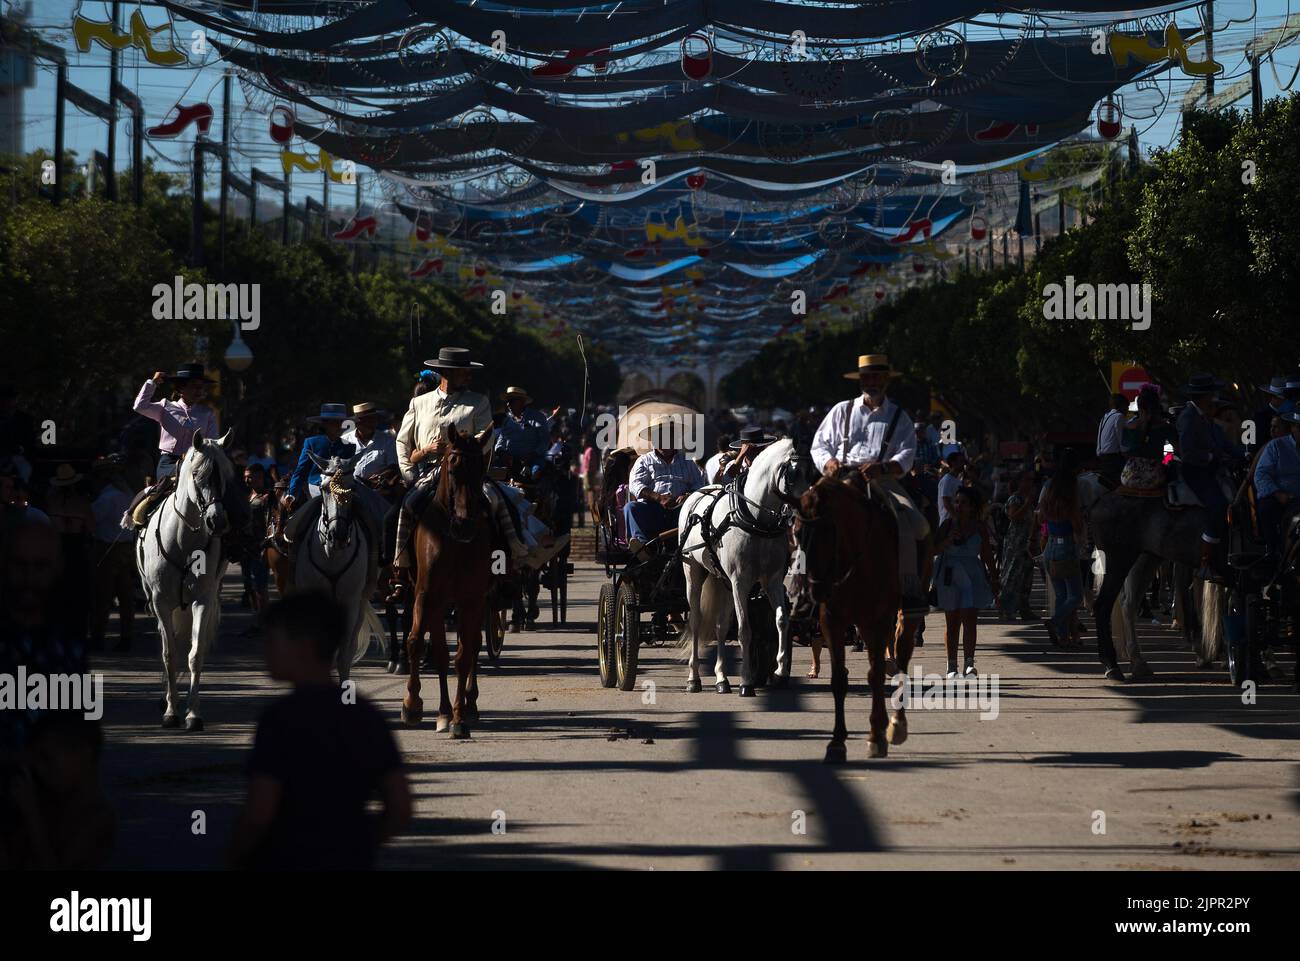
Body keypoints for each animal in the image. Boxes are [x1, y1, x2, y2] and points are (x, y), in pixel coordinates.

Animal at [138, 429, 237, 728]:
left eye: (226, 474)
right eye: (197, 474)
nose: (218, 521)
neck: (183, 541)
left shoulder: (201, 600)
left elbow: (194, 654)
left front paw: (193, 714)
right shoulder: (160, 602)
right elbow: (169, 654)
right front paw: (171, 711)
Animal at [297, 455, 387, 681]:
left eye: (352, 488)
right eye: (323, 488)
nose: (337, 535)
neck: (332, 555)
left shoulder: (350, 602)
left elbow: (344, 654)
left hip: (361, 602)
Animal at [400, 423, 491, 738]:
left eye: (480, 470)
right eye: (452, 466)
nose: (465, 524)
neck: (453, 541)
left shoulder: (472, 600)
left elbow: (463, 656)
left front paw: (460, 718)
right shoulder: (426, 595)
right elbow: (416, 642)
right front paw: (412, 705)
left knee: (471, 647)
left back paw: (466, 705)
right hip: (437, 603)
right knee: (439, 651)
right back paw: (441, 712)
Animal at [681, 439, 811, 697]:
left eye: (809, 471)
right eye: (792, 474)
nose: (805, 511)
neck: (756, 518)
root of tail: (695, 496)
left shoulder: (771, 580)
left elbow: (781, 620)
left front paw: (780, 672)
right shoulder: (740, 581)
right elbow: (745, 630)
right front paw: (746, 682)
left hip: (722, 581)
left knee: (720, 626)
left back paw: (722, 679)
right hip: (693, 572)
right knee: (696, 622)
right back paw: (694, 678)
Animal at [785, 475, 909, 764]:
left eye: (828, 534)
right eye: (795, 532)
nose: (807, 594)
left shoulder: (880, 618)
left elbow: (875, 674)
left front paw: (876, 736)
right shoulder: (832, 620)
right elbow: (839, 679)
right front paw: (837, 742)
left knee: (901, 657)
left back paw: (897, 724)